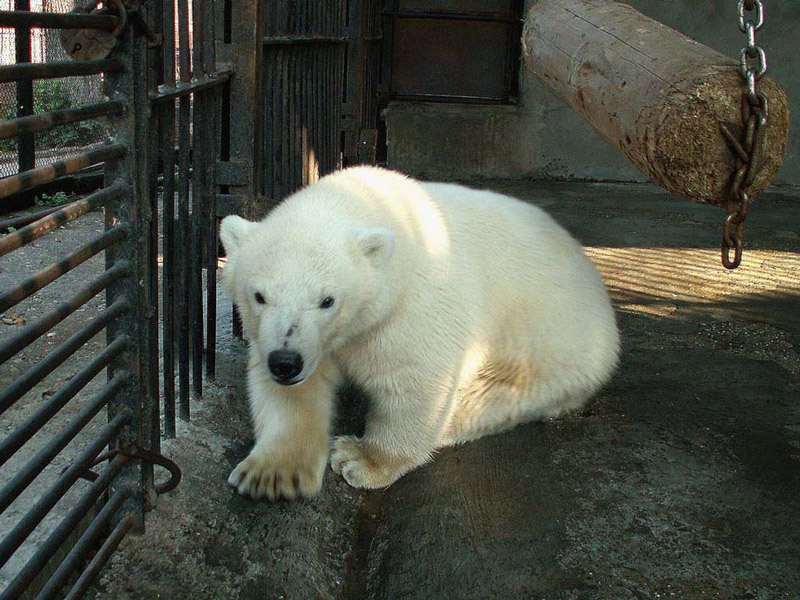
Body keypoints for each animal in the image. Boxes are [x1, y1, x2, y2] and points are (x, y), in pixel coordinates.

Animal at [219, 166, 620, 500]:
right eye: (259, 296)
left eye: (327, 300)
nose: (285, 362)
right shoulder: (298, 341)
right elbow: (296, 393)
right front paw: (272, 475)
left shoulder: (412, 307)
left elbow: (414, 382)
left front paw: (360, 459)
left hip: (549, 346)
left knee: (494, 393)